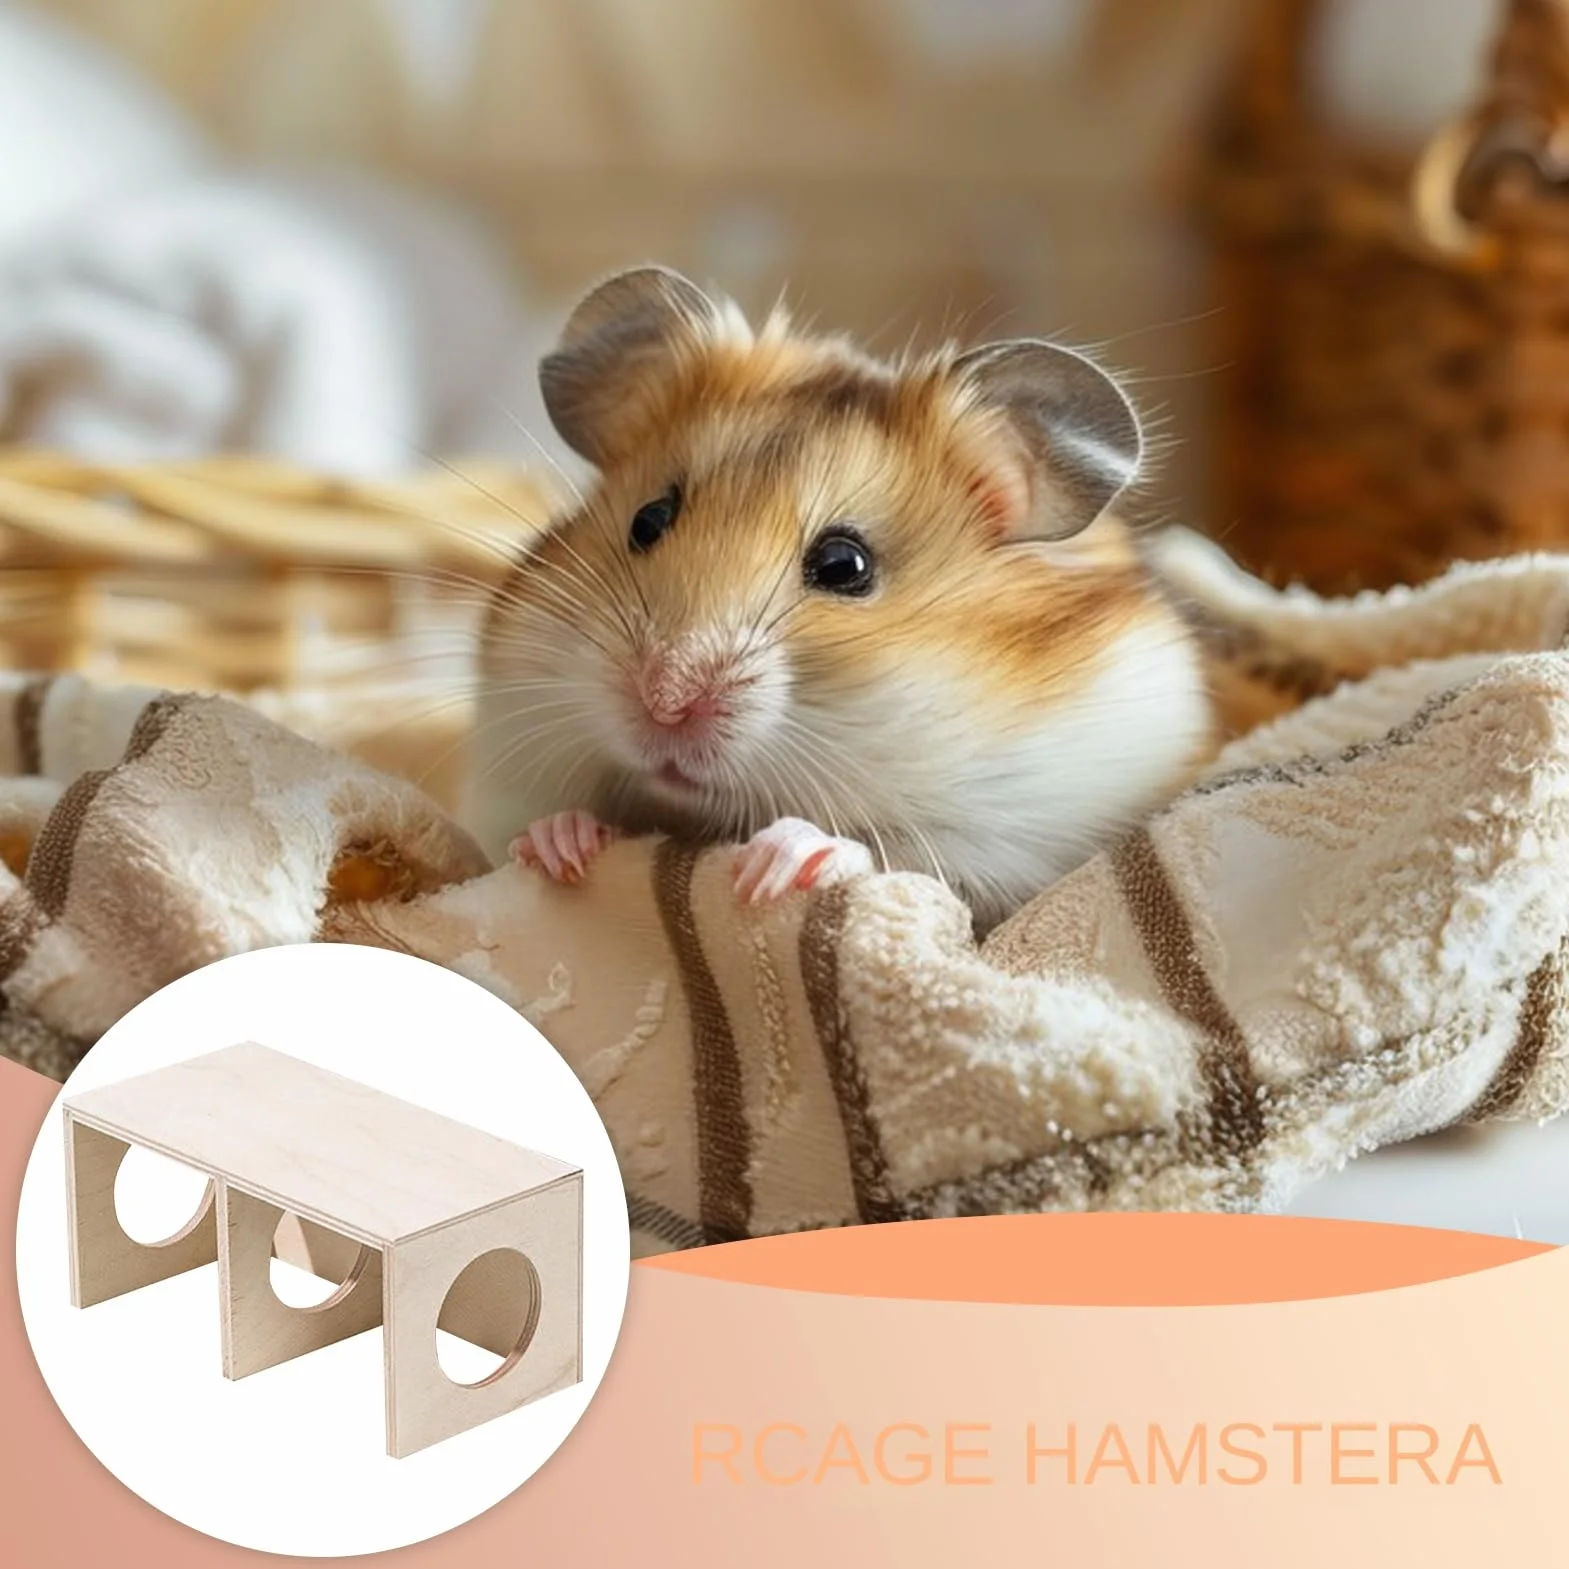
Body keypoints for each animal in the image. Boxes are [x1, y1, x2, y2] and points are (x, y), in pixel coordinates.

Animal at [464, 265, 1213, 931]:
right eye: (648, 520)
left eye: (844, 564)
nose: (664, 701)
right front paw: (556, 845)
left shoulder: (1021, 846)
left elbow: (901, 855)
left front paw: (776, 864)